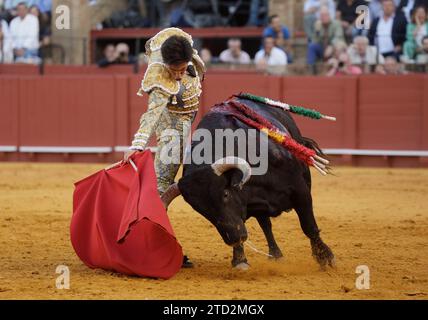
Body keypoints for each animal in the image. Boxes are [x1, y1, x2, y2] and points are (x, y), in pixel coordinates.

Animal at [162, 97, 336, 270]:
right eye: (201, 210)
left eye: (225, 194)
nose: (233, 238)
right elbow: (248, 223)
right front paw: (239, 260)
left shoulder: (300, 190)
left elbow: (309, 226)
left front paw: (325, 257)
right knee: (266, 225)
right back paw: (275, 254)